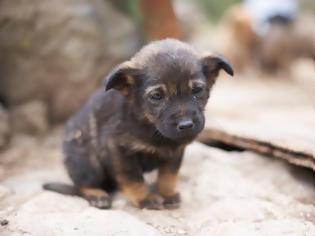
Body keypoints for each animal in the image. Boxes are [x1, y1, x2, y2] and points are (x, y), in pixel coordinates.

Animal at [43, 38, 233, 210]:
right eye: (157, 96)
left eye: (197, 90)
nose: (186, 125)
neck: (150, 126)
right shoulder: (120, 151)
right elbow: (133, 178)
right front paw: (145, 199)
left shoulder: (175, 151)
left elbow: (168, 175)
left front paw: (167, 193)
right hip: (87, 163)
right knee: (83, 185)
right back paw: (98, 196)